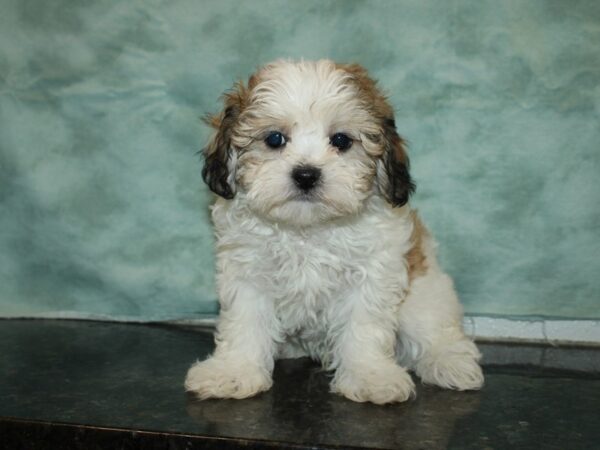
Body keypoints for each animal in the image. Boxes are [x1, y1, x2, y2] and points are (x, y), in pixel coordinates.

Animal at [185, 59, 486, 404]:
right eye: (274, 139)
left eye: (341, 141)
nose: (306, 175)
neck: (309, 229)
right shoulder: (248, 272)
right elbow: (245, 322)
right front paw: (232, 372)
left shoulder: (372, 274)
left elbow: (364, 325)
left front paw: (371, 376)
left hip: (424, 295)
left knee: (435, 331)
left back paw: (450, 364)